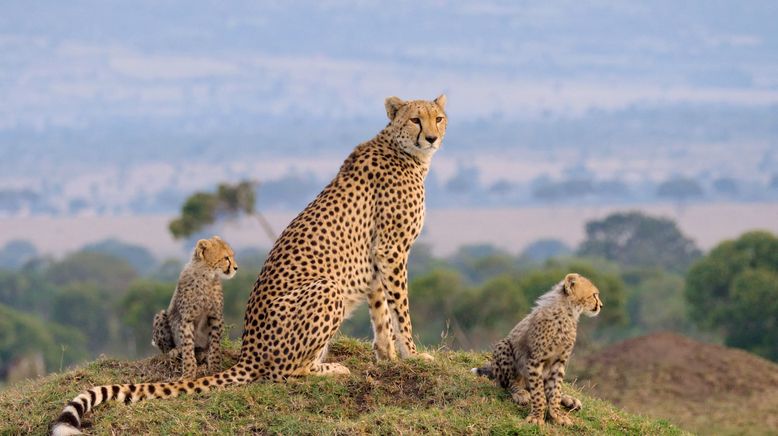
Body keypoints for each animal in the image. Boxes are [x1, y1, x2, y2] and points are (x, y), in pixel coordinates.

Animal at [51, 93, 446, 434]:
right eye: (416, 119)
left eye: (438, 118)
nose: (431, 137)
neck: (402, 149)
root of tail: (248, 351)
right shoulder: (392, 250)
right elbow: (401, 310)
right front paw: (414, 356)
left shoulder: (378, 256)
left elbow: (381, 312)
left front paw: (389, 357)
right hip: (326, 290)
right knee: (283, 373)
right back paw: (330, 368)